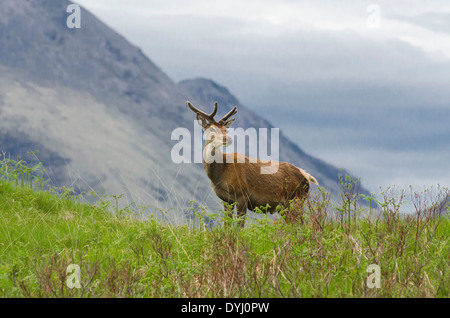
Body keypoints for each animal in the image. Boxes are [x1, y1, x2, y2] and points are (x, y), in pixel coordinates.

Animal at [186, 100, 320, 227]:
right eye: (212, 128)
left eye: (225, 130)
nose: (227, 139)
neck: (220, 175)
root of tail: (306, 176)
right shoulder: (226, 200)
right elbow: (227, 225)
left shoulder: (242, 194)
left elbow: (239, 226)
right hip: (286, 206)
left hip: (295, 199)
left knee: (302, 225)